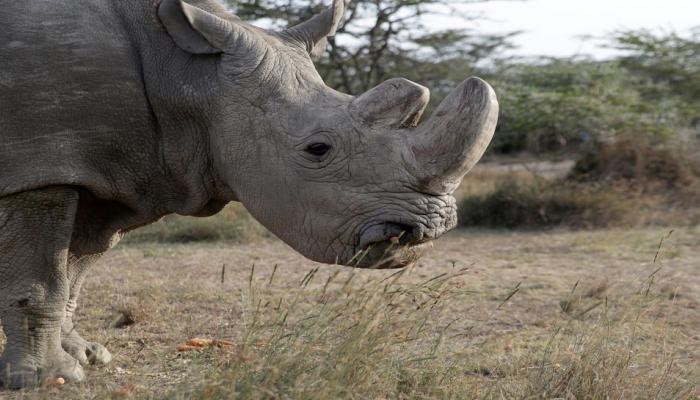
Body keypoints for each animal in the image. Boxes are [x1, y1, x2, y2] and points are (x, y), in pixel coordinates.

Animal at [0, 0, 498, 390]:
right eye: (318, 149)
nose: (428, 228)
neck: (190, 74)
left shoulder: (107, 171)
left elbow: (75, 270)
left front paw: (86, 356)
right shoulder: (42, 166)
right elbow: (42, 280)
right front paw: (49, 379)